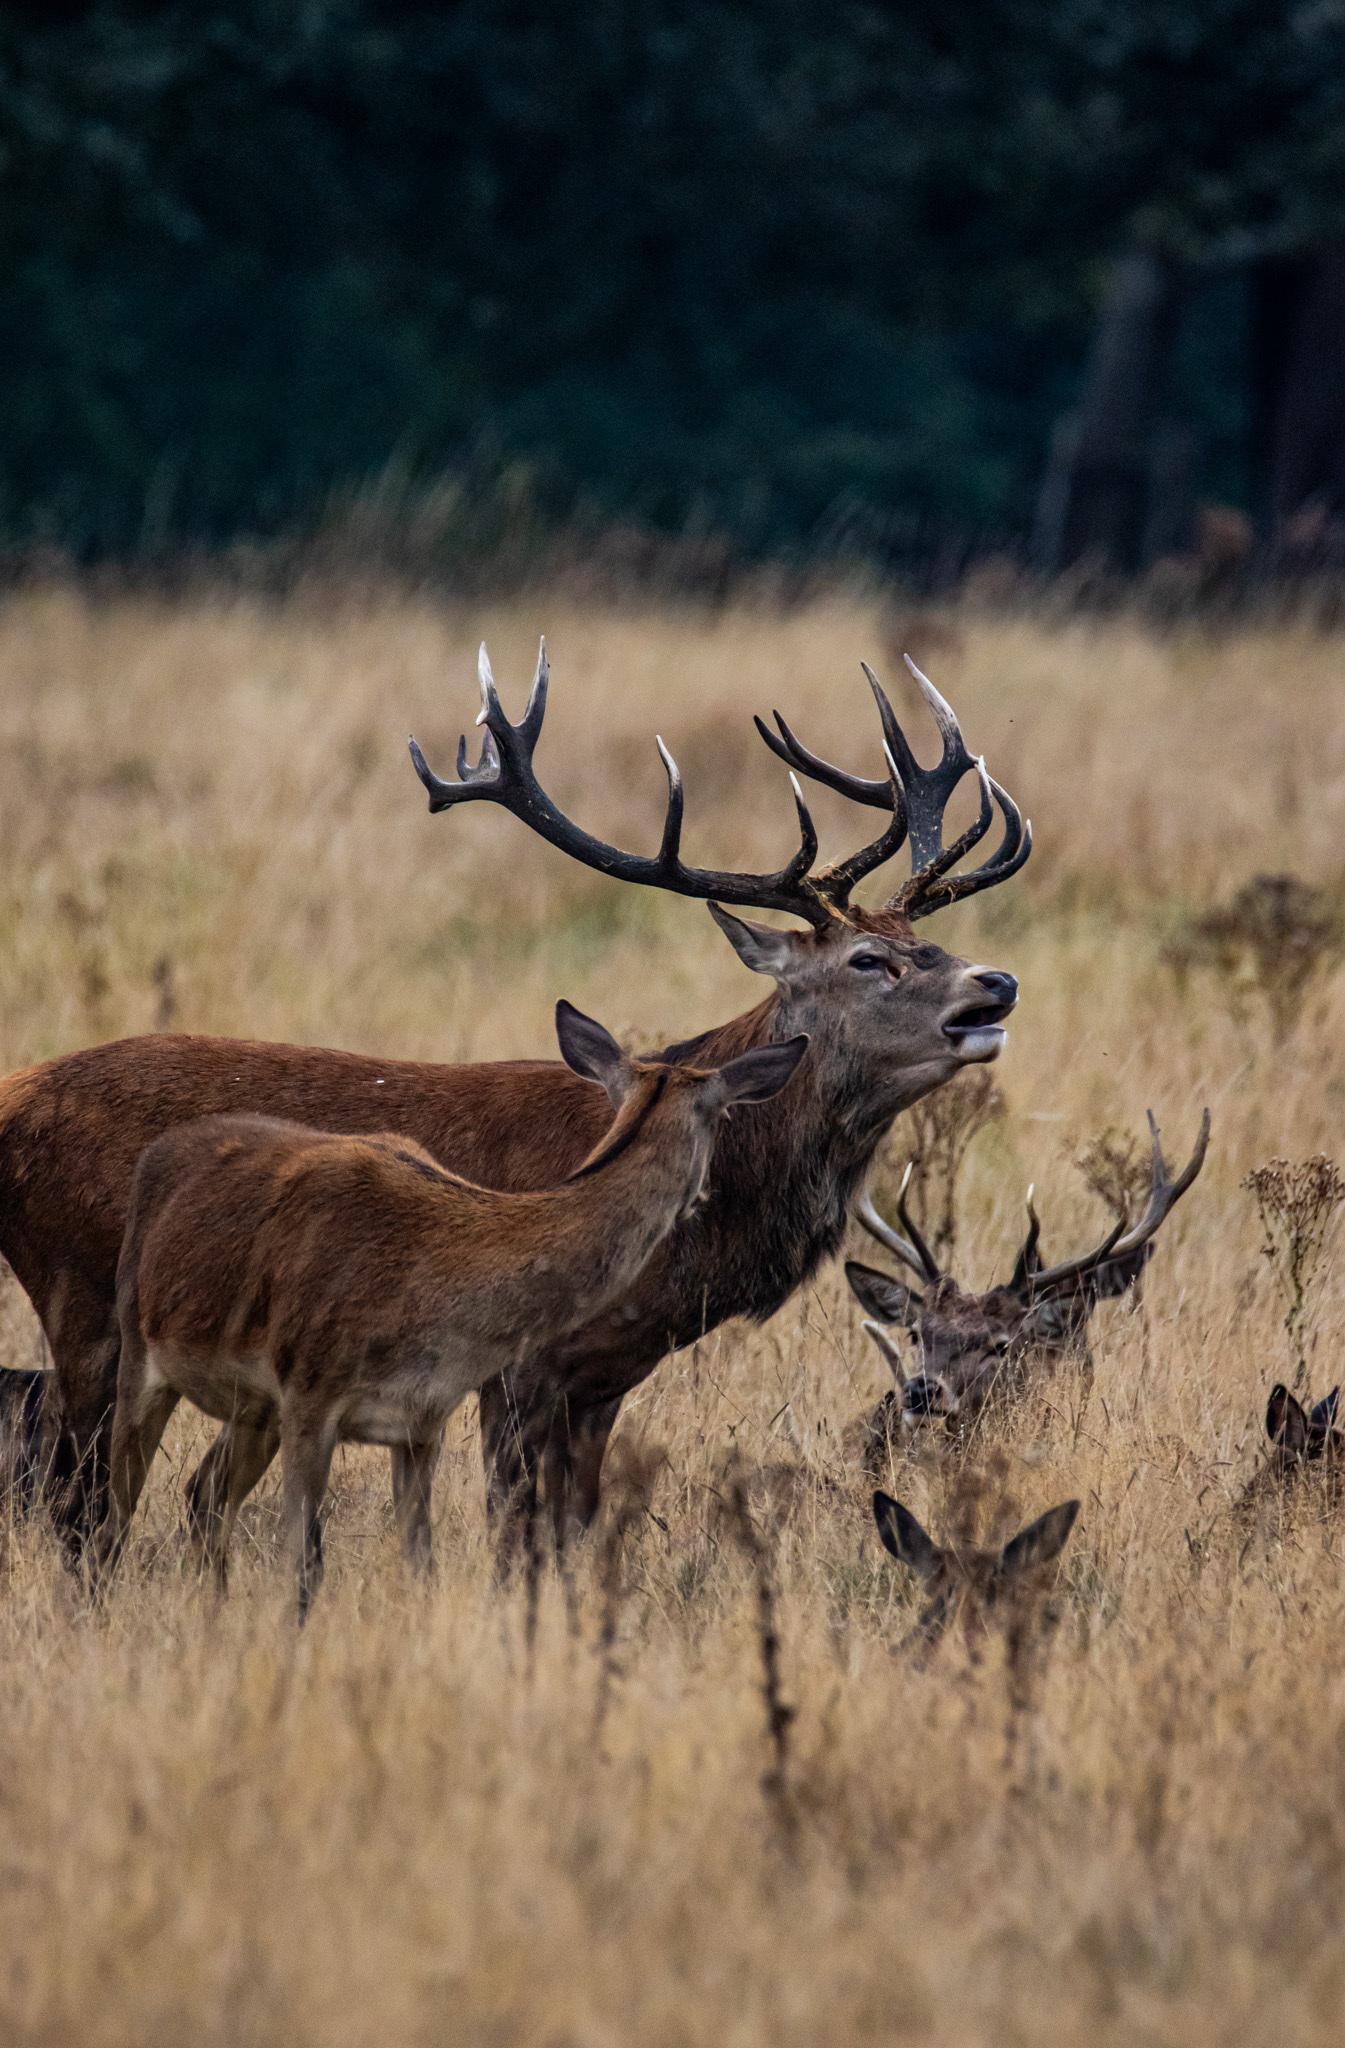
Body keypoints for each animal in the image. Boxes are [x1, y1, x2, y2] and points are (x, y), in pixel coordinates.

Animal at [95, 1004, 808, 1615]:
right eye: (723, 1118)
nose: (707, 1198)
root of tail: (161, 1154)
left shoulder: (421, 1419)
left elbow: (421, 1562)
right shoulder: (311, 1395)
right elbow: (305, 1567)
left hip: (252, 1410)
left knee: (204, 1496)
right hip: (140, 1352)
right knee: (113, 1513)